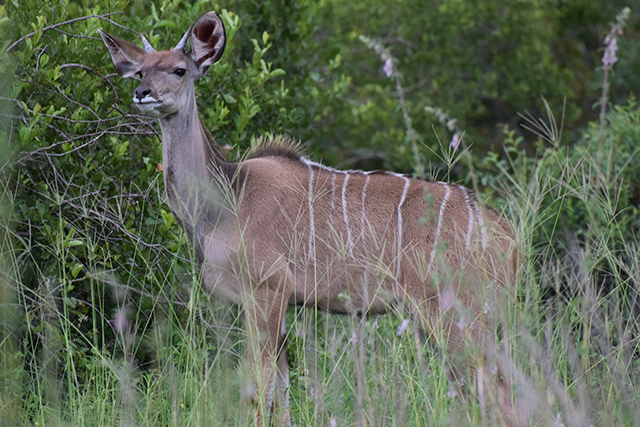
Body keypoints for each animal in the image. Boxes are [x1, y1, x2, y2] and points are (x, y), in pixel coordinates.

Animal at [101, 10, 520, 427]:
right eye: (141, 72)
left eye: (179, 70)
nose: (143, 94)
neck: (225, 199)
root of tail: (508, 237)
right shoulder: (279, 305)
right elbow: (282, 393)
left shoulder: (267, 291)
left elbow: (259, 388)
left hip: (453, 311)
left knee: (498, 387)